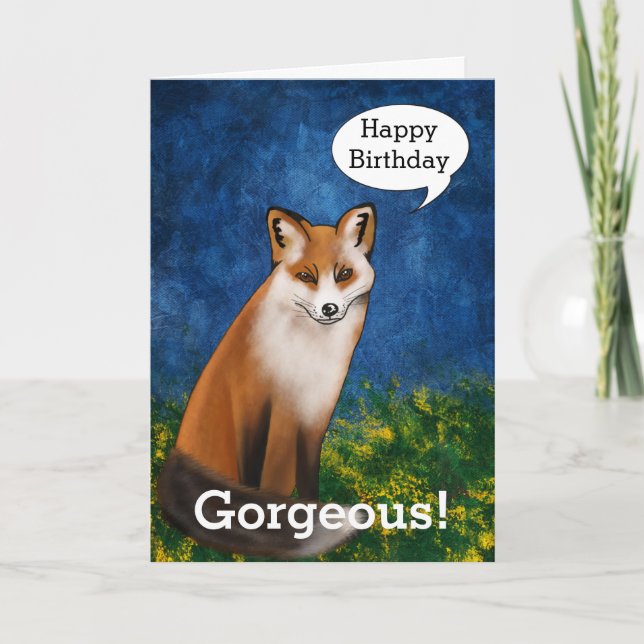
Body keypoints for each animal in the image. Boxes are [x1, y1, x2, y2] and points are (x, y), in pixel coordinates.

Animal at [157, 203, 377, 559]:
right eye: (307, 276)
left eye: (344, 274)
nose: (329, 308)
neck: (303, 361)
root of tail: (174, 459)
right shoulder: (254, 409)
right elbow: (254, 487)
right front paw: (264, 521)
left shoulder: (314, 418)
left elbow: (309, 482)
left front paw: (309, 513)